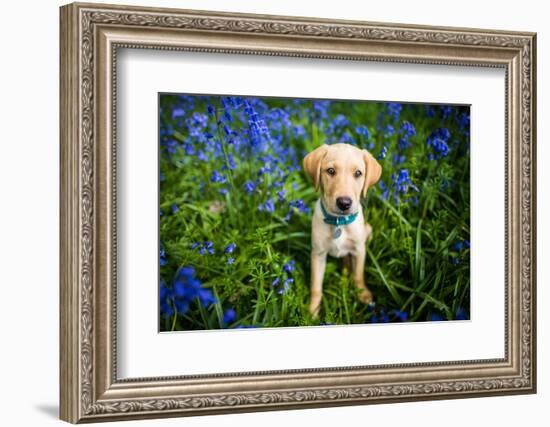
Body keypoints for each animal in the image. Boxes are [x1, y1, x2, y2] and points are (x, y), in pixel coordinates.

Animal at [302, 145, 384, 316]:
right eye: (331, 171)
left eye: (358, 173)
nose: (344, 203)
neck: (339, 222)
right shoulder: (318, 254)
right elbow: (316, 286)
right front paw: (312, 311)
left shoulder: (359, 250)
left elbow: (359, 275)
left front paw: (363, 294)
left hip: (368, 230)